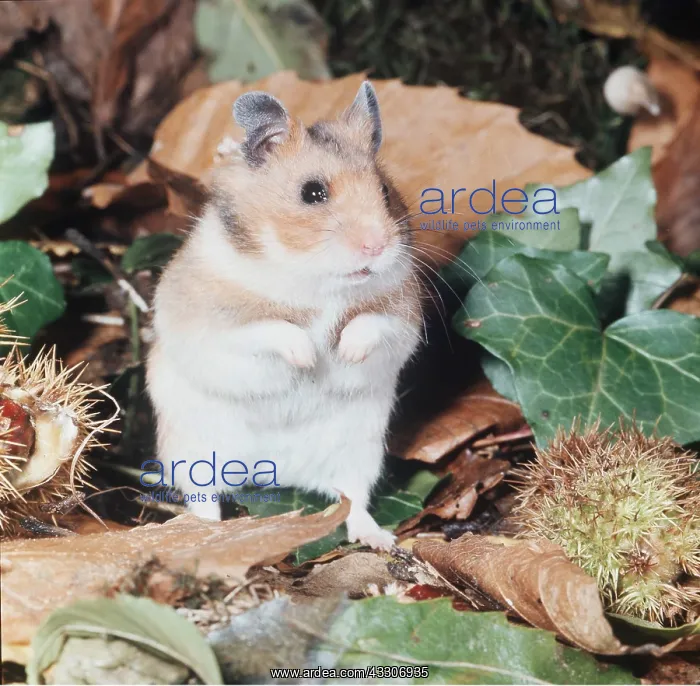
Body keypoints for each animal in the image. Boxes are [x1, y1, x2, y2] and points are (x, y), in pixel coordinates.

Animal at [146, 81, 423, 550]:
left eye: (386, 191)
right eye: (312, 192)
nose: (377, 247)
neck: (316, 280)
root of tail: (273, 471)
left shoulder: (404, 318)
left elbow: (370, 325)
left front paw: (343, 354)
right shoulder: (213, 326)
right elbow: (271, 330)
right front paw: (310, 359)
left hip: (359, 450)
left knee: (353, 500)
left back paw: (380, 539)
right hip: (193, 451)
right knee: (204, 500)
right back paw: (207, 535)